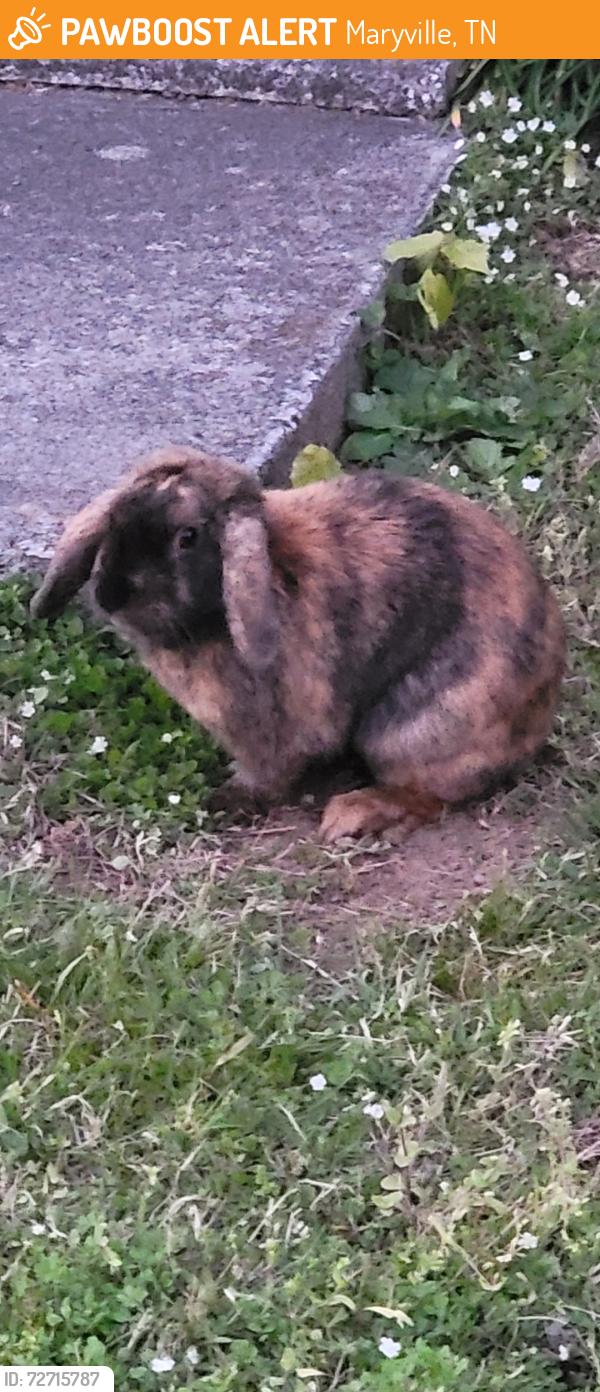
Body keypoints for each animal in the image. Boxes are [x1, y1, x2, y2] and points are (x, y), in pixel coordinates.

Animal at [31, 446, 566, 842]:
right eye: (117, 517)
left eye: (187, 537)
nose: (109, 595)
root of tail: (540, 712)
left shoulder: (268, 733)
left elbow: (269, 774)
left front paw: (226, 801)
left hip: (412, 731)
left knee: (429, 794)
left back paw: (349, 816)